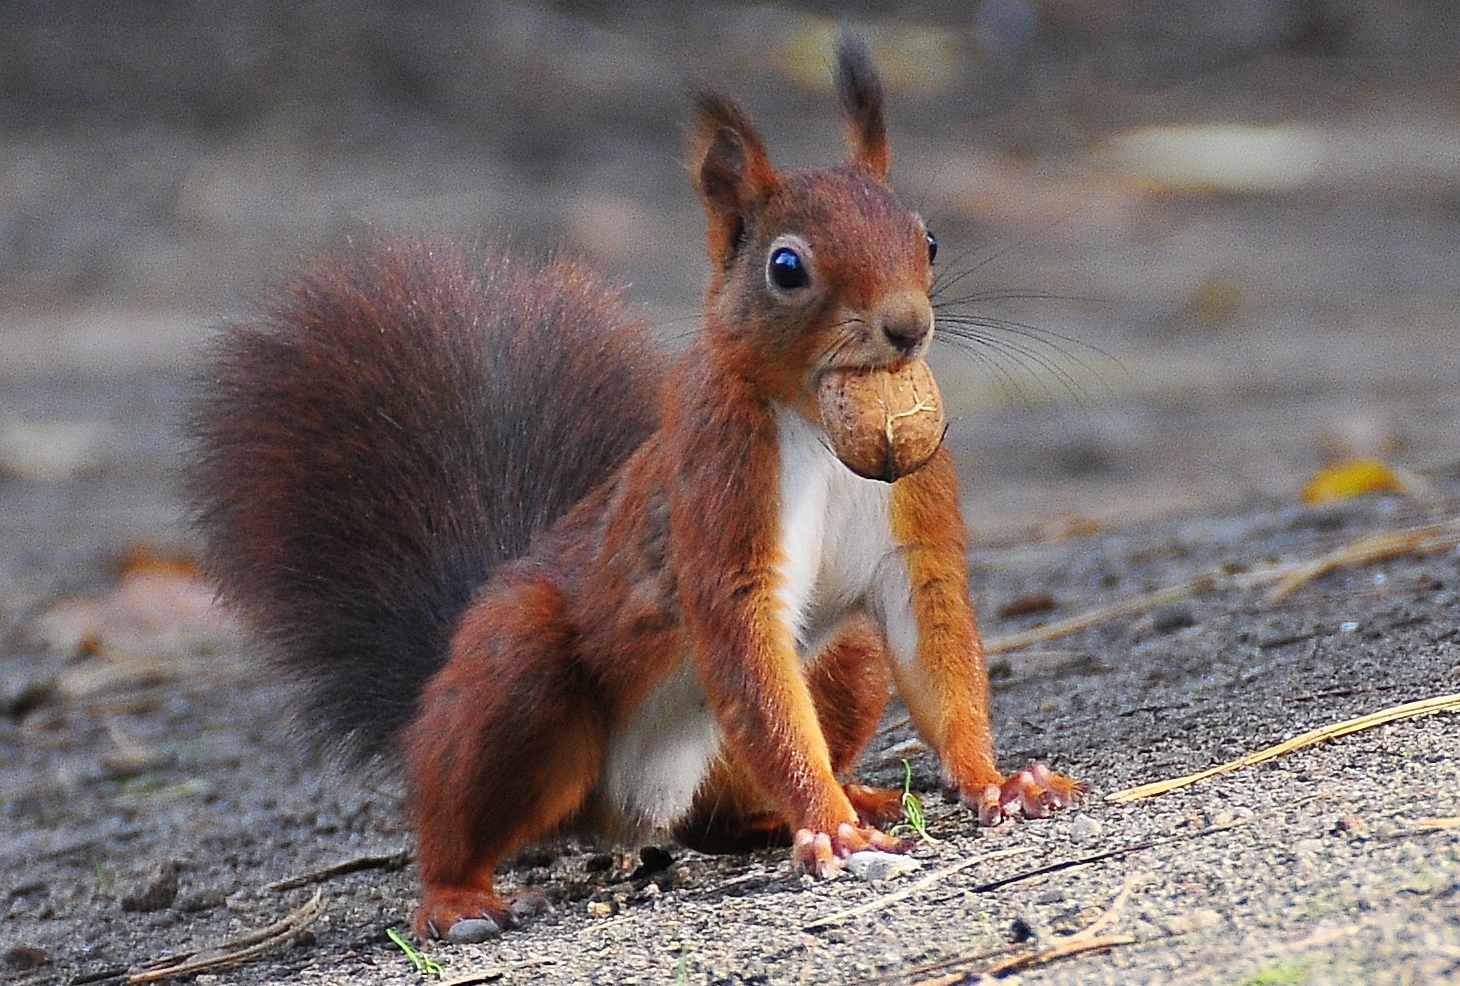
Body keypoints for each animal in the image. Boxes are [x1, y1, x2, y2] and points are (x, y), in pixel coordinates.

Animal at [188, 38, 1080, 940]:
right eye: (786, 267)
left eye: (927, 239)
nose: (908, 327)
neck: (817, 418)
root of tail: (631, 812)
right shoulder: (718, 484)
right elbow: (746, 647)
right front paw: (829, 829)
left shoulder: (913, 517)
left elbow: (935, 647)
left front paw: (997, 783)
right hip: (518, 670)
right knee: (455, 815)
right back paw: (460, 896)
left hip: (836, 670)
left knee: (724, 815)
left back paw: (845, 799)